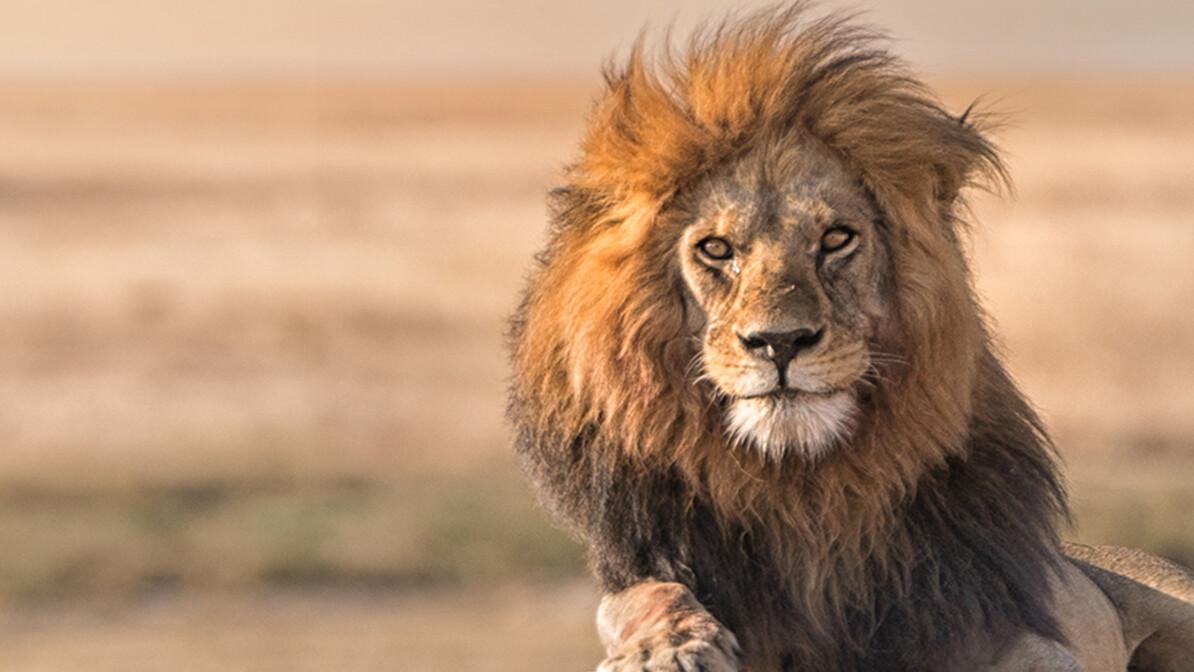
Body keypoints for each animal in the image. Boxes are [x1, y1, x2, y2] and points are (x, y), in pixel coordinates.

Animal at [507, 5, 1194, 671]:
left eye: (836, 239)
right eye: (717, 249)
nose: (780, 342)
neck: (804, 489)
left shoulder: (980, 611)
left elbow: (1029, 648)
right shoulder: (658, 565)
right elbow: (644, 596)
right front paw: (669, 647)